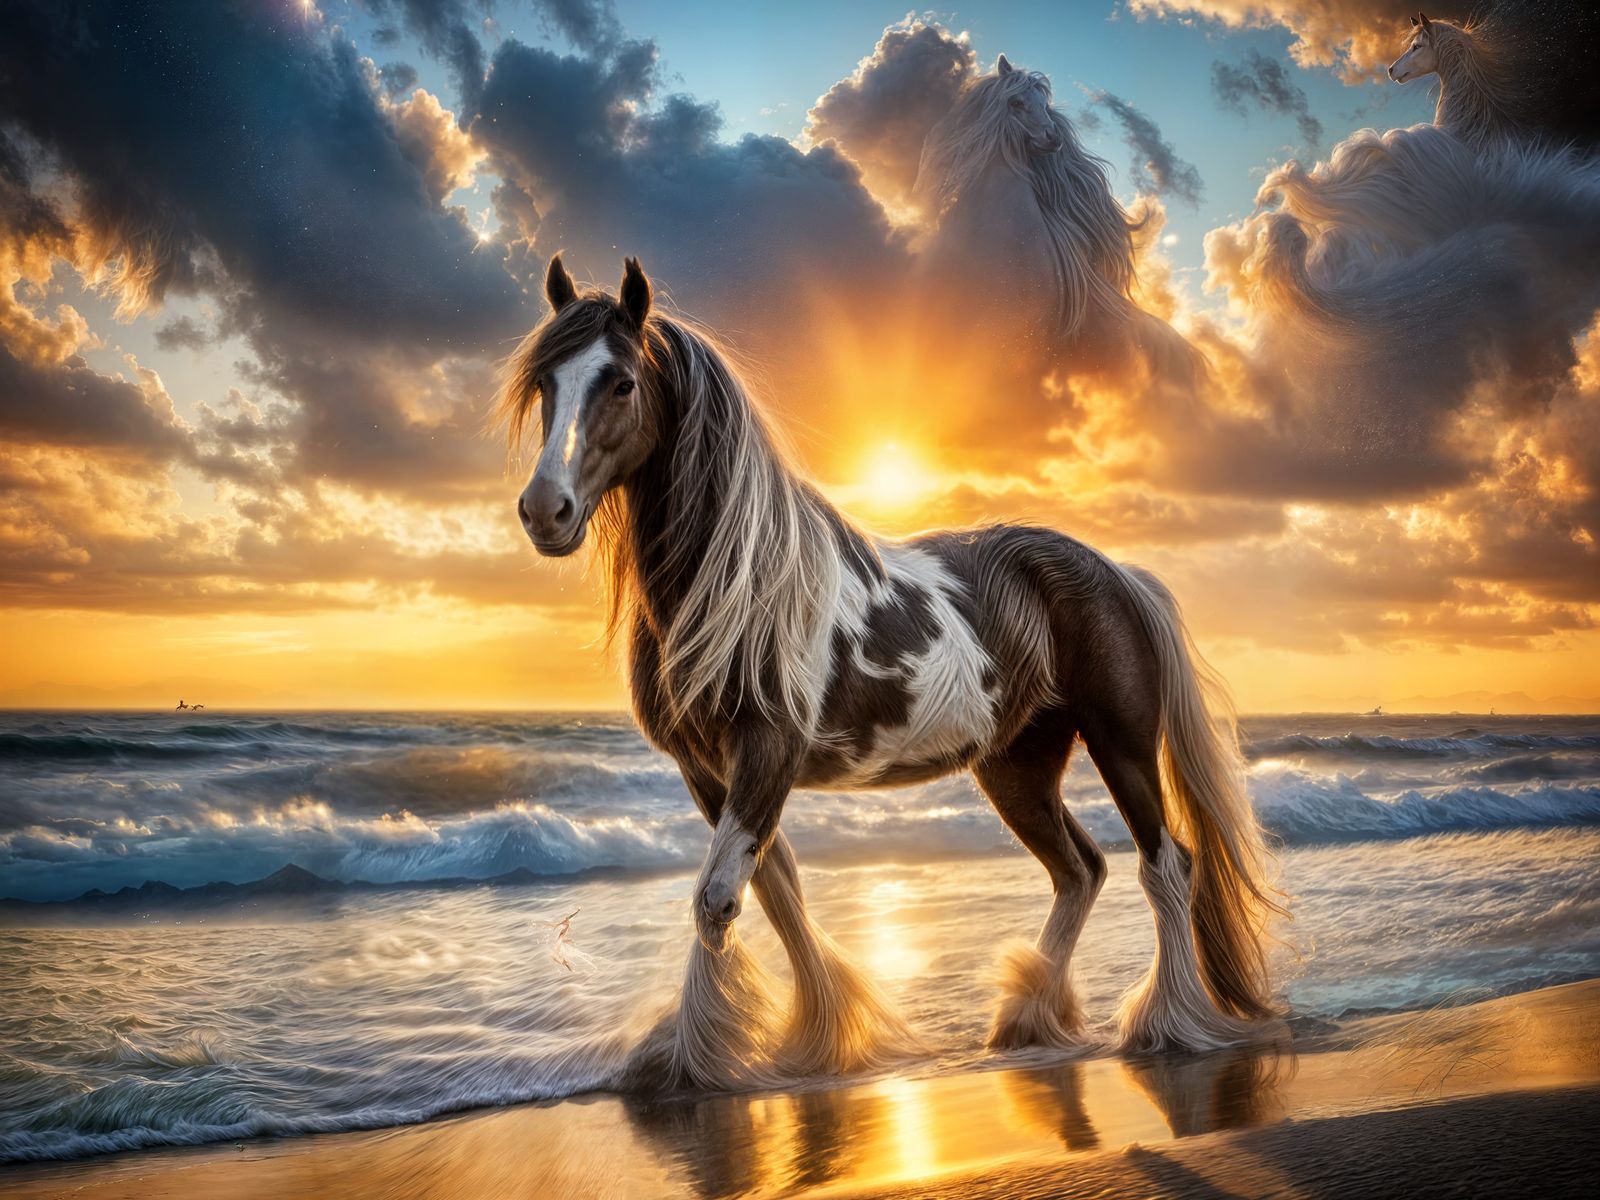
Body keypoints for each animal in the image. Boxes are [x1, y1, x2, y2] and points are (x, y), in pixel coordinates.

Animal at [502, 254, 1284, 1089]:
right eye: (545, 382)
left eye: (620, 382)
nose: (545, 510)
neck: (738, 583)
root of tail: (1115, 573)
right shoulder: (708, 770)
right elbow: (775, 895)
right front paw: (817, 1038)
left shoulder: (767, 751)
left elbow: (717, 900)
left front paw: (701, 1058)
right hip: (1017, 766)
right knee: (1081, 870)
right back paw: (1026, 1017)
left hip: (1121, 745)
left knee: (1164, 866)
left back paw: (1167, 1025)